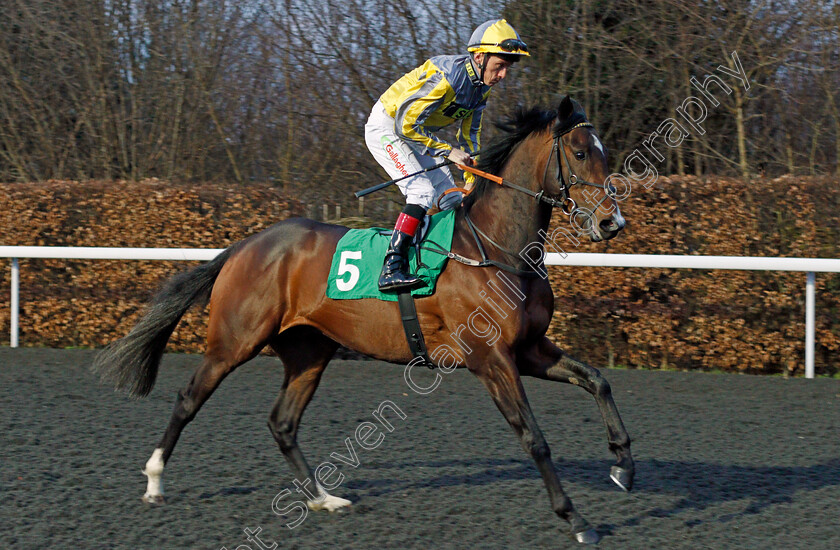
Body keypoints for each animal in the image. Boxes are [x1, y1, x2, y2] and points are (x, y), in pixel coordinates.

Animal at [93, 96, 632, 548]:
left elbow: (598, 381)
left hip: (309, 351)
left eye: (604, 153)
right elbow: (534, 438)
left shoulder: (528, 350)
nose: (613, 223)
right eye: (580, 153)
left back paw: (323, 497)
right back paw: (155, 480)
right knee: (189, 399)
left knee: (282, 422)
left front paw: (623, 464)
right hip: (234, 341)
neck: (496, 247)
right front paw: (576, 518)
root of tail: (244, 246)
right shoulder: (490, 358)